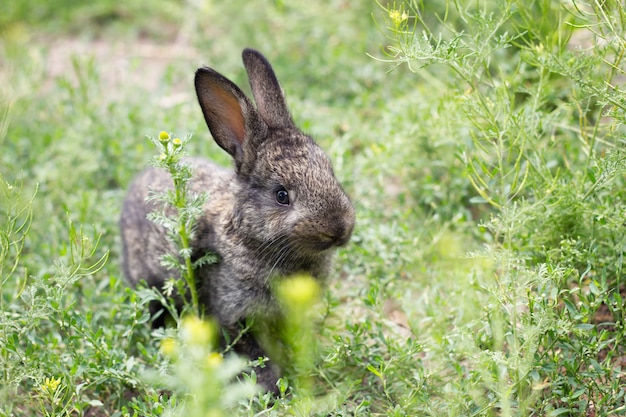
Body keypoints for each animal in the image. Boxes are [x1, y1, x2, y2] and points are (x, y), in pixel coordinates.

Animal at [117, 48, 352, 394]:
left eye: (330, 172)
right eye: (281, 195)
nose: (340, 229)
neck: (250, 236)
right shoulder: (231, 311)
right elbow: (251, 353)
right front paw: (270, 388)